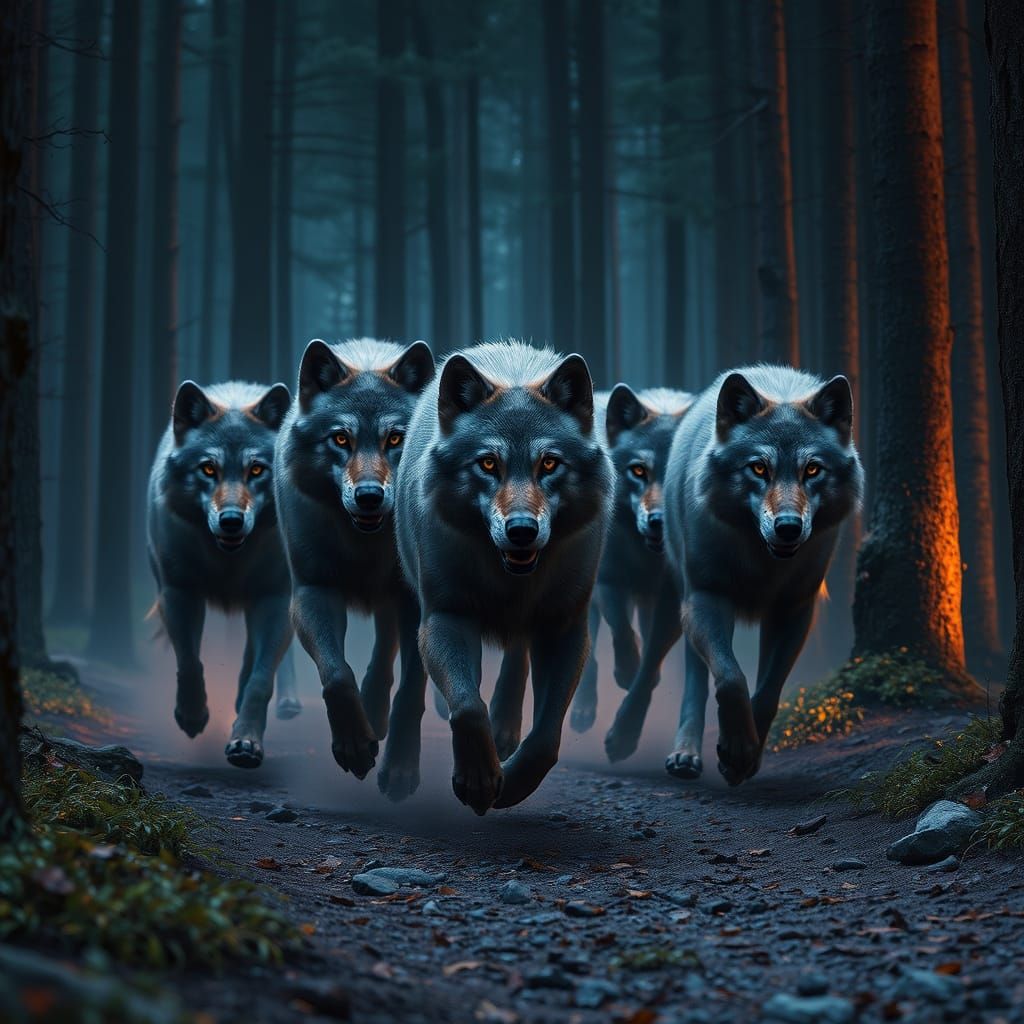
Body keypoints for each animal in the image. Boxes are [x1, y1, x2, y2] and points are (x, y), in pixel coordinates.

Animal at [147, 379, 299, 769]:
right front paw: (192, 715)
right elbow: (189, 661)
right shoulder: (179, 592)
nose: (231, 520)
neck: (229, 560)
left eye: (257, 470)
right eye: (208, 469)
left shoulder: (274, 597)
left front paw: (246, 742)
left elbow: (261, 679)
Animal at [275, 337, 435, 800]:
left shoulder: (417, 601)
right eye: (341, 438)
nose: (368, 496)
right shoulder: (314, 591)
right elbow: (336, 675)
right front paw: (354, 745)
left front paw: (399, 769)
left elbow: (411, 690)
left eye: (396, 438)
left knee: (385, 651)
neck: (367, 546)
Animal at [396, 340, 612, 815]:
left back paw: (505, 730)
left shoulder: (564, 626)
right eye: (488, 464)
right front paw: (478, 779)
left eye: (549, 463)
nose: (522, 530)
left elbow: (546, 737)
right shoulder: (447, 616)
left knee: (517, 657)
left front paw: (510, 784)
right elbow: (466, 706)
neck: (508, 579)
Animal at [570, 385, 693, 734]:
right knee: (591, 654)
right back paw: (583, 711)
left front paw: (626, 730)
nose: (658, 521)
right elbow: (622, 634)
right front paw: (626, 671)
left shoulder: (671, 600)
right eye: (639, 470)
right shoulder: (610, 581)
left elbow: (651, 661)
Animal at [603, 365, 863, 785]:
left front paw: (746, 757)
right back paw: (651, 744)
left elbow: (769, 690)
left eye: (812, 470)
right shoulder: (708, 599)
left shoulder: (795, 611)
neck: (762, 562)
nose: (788, 527)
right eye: (758, 468)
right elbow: (730, 678)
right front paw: (737, 749)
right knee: (665, 668)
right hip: (677, 602)